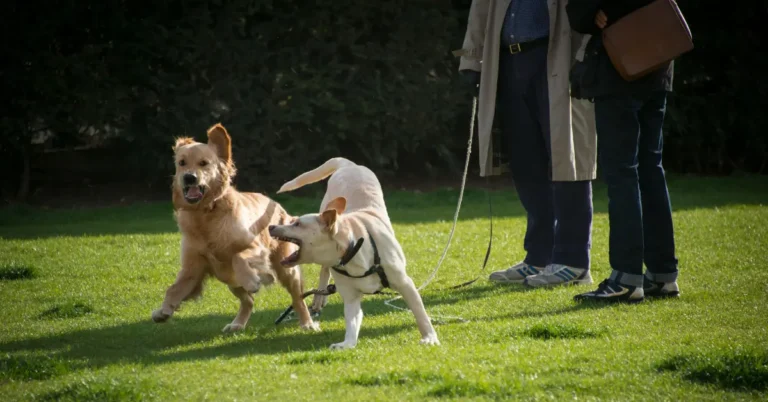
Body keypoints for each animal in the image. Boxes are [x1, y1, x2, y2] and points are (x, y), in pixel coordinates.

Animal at [150, 124, 318, 332]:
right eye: (181, 163)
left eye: (203, 163)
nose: (189, 177)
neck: (206, 214)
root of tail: (278, 206)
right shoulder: (192, 267)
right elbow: (173, 289)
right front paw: (163, 310)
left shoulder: (255, 247)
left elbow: (238, 257)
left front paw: (253, 280)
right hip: (228, 279)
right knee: (248, 301)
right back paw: (237, 323)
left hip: (286, 269)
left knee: (298, 299)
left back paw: (307, 323)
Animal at [268, 157, 438, 348]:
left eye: (297, 223)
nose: (271, 226)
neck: (352, 251)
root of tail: (350, 164)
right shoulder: (350, 297)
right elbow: (351, 321)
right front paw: (346, 344)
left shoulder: (405, 284)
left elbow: (420, 313)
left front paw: (429, 337)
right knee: (324, 271)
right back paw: (319, 299)